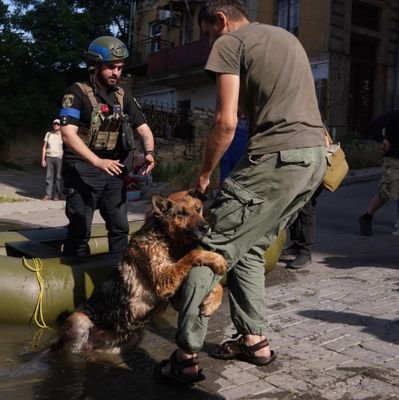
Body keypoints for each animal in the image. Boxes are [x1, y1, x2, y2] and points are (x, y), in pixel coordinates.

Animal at [54, 189, 227, 352]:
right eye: (181, 213)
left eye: (198, 209)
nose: (206, 227)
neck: (165, 237)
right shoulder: (163, 280)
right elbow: (193, 254)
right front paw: (217, 258)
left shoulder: (176, 297)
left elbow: (217, 285)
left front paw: (212, 302)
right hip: (79, 321)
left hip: (126, 342)